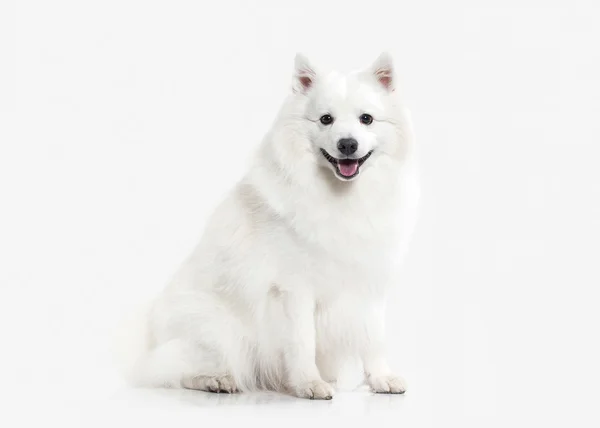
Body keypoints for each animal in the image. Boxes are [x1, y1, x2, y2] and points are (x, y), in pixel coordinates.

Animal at [119, 51, 420, 400]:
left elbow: (374, 339)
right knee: (173, 369)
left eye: (366, 119)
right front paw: (308, 383)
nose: (347, 144)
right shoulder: (295, 289)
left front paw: (381, 378)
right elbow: (303, 342)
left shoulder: (369, 282)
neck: (342, 198)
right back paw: (215, 380)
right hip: (220, 330)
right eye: (326, 119)